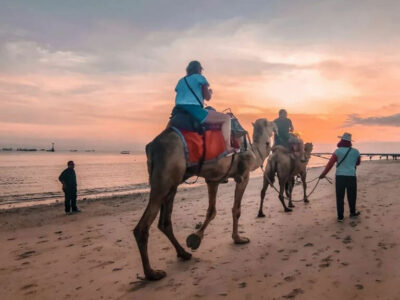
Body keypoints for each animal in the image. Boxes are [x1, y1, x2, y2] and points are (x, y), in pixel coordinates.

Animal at [134, 118, 276, 282]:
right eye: (271, 124)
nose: (276, 127)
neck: (254, 151)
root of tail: (152, 146)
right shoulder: (243, 176)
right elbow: (236, 210)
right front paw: (238, 238)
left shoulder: (213, 180)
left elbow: (211, 211)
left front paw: (195, 238)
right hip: (164, 177)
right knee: (142, 227)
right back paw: (152, 273)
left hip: (172, 182)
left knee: (165, 222)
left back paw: (183, 253)